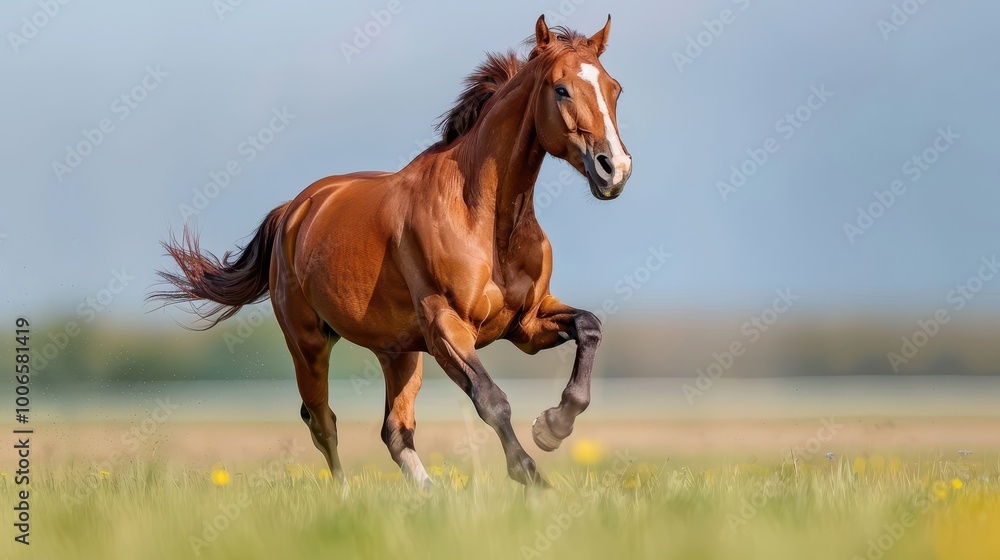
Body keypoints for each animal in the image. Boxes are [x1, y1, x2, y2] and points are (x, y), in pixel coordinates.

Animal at [151, 14, 631, 488]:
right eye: (561, 88)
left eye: (614, 88)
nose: (615, 169)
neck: (487, 223)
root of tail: (294, 210)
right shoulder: (447, 329)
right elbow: (492, 400)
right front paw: (532, 476)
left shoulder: (526, 324)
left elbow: (589, 327)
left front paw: (553, 426)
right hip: (308, 344)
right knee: (323, 421)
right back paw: (345, 495)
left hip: (398, 353)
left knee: (394, 431)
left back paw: (430, 494)